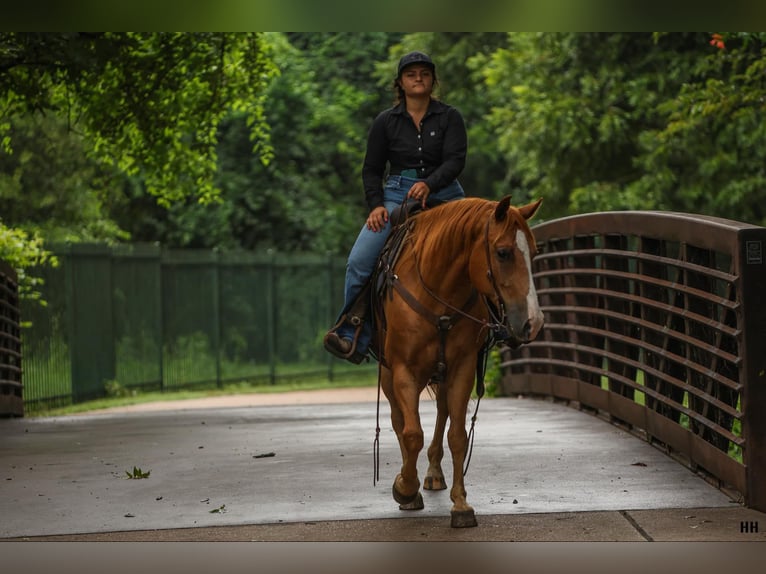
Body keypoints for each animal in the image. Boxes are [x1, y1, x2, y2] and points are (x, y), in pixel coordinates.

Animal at [372, 195, 544, 528]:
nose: (533, 322)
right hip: (388, 375)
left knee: (442, 413)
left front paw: (461, 503)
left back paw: (433, 473)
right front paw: (405, 487)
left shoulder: (462, 369)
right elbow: (412, 433)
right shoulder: (403, 371)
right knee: (399, 421)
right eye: (503, 253)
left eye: (534, 252)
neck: (437, 293)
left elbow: (458, 435)